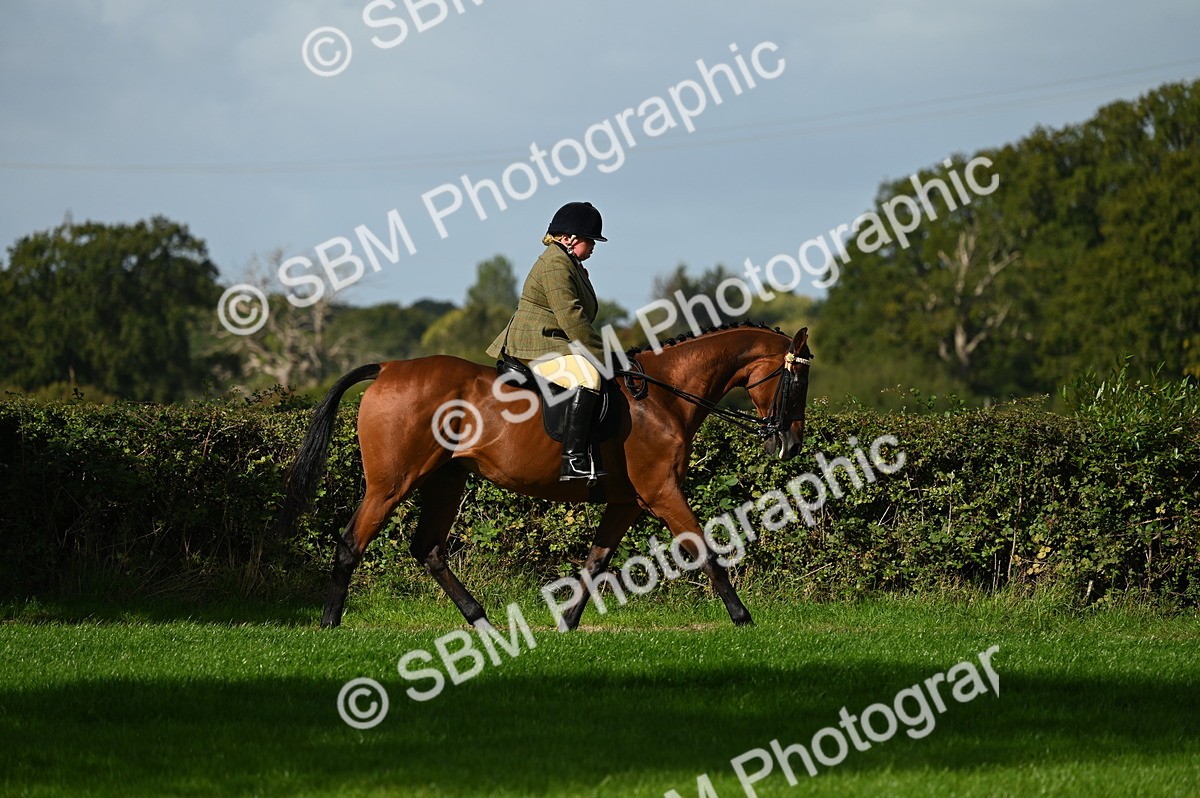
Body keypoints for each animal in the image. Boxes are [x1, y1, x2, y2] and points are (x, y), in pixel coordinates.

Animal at [278, 321, 813, 630]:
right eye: (799, 379)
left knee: (428, 548)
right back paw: (329, 624)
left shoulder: (627, 501)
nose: (789, 444)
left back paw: (481, 621)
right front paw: (743, 617)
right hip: (392, 484)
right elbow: (704, 549)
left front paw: (567, 624)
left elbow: (596, 561)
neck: (665, 395)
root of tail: (389, 367)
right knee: (352, 542)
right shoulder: (662, 491)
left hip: (447, 480)